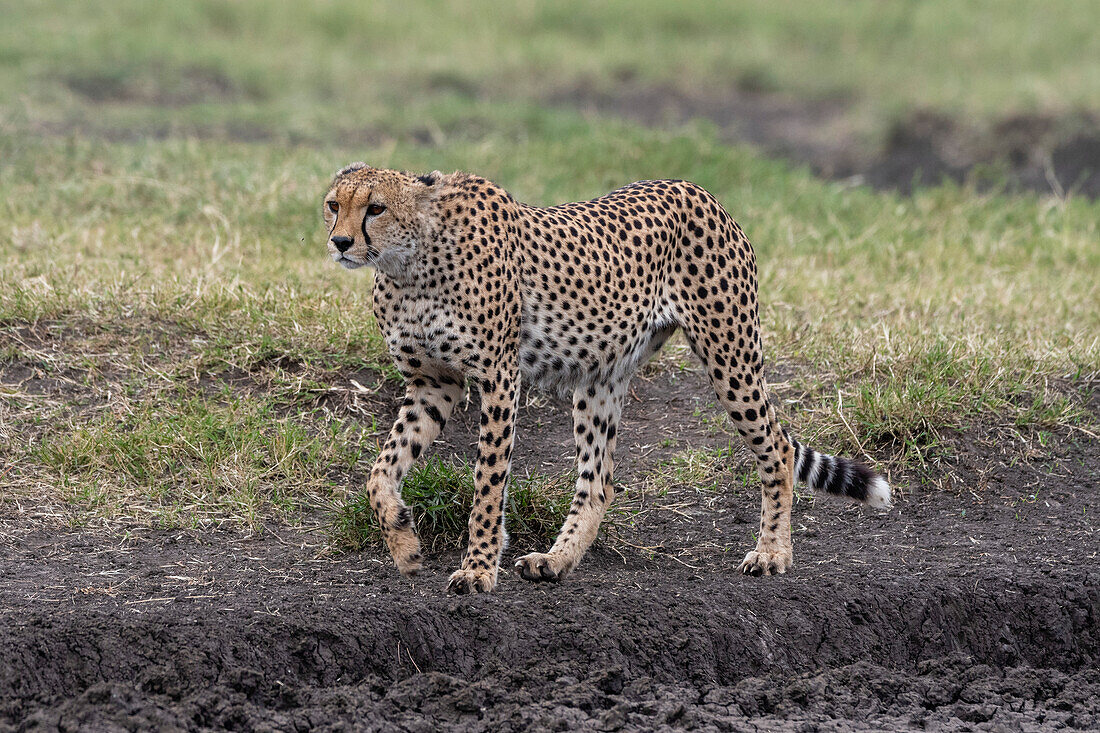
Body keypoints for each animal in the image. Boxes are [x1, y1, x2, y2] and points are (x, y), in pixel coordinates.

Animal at [321, 162, 888, 589]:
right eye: (333, 204)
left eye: (375, 208)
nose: (341, 242)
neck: (410, 265)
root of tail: (696, 188)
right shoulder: (434, 384)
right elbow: (381, 471)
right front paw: (403, 541)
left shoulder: (499, 377)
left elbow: (487, 482)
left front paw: (479, 569)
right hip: (599, 375)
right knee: (598, 483)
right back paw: (555, 560)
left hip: (730, 355)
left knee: (779, 448)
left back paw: (772, 551)